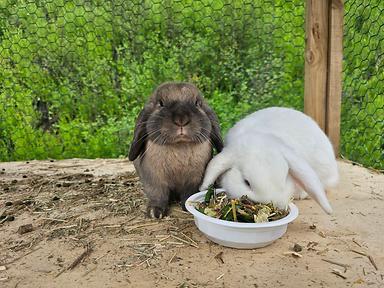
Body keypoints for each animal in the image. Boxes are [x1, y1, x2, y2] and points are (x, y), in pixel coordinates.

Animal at [129, 82, 224, 217]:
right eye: (161, 103)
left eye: (197, 103)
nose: (181, 119)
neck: (180, 145)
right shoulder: (154, 180)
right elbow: (158, 195)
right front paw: (155, 212)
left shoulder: (194, 180)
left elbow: (189, 193)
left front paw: (186, 206)